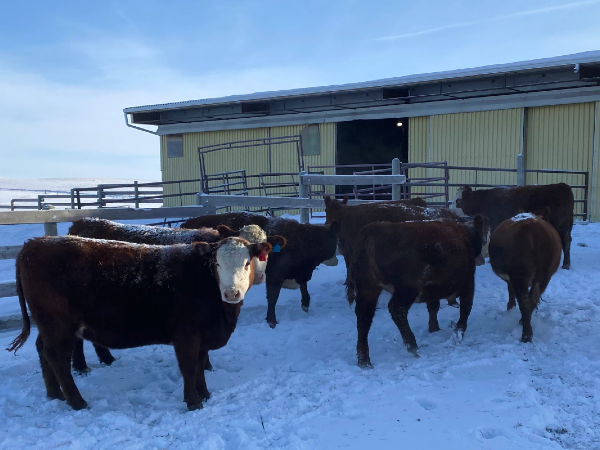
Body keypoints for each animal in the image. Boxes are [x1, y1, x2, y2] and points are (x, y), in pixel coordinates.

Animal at [6, 235, 275, 411]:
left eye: (247, 263)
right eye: (217, 263)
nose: (232, 293)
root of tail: (34, 244)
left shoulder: (203, 336)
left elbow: (200, 365)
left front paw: (205, 394)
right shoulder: (187, 335)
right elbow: (189, 367)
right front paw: (194, 402)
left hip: (48, 325)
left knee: (43, 351)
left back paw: (55, 395)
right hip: (57, 325)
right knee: (58, 359)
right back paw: (77, 401)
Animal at [67, 218, 280, 373]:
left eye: (261, 254)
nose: (259, 276)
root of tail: (83, 222)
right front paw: (207, 366)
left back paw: (106, 359)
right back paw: (81, 366)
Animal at [181, 213, 339, 328]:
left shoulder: (301, 274)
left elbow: (305, 292)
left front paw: (305, 308)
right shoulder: (274, 277)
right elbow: (273, 298)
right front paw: (271, 321)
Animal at [346, 215, 490, 368]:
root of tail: (371, 232)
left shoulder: (433, 290)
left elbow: (433, 307)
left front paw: (434, 329)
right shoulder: (468, 282)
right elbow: (466, 307)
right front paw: (458, 333)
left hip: (368, 288)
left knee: (364, 316)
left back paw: (364, 360)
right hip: (407, 289)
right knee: (396, 309)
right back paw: (412, 346)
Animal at [488, 211, 562, 343]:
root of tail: (532, 227)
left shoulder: (512, 279)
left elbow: (511, 291)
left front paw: (510, 307)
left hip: (520, 275)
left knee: (525, 301)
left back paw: (526, 334)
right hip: (544, 276)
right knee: (533, 299)